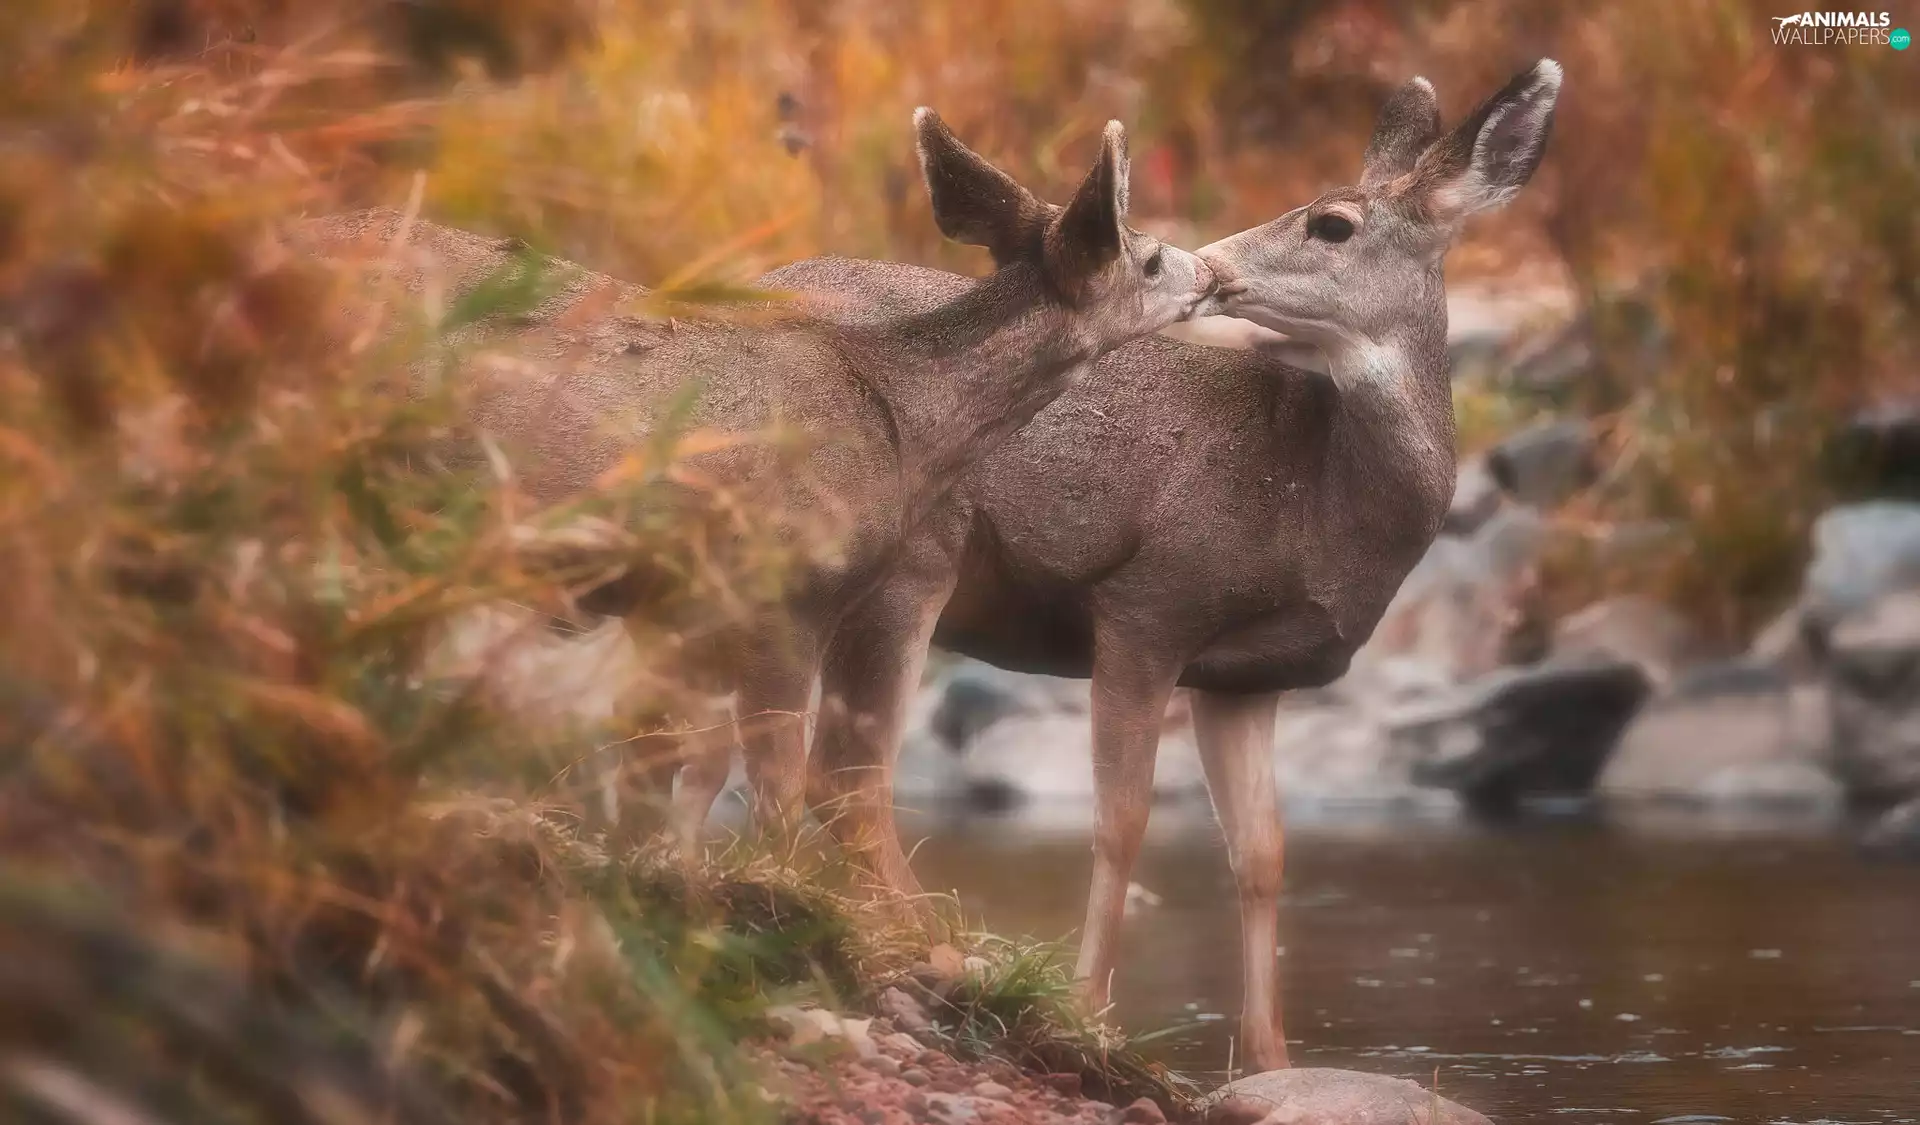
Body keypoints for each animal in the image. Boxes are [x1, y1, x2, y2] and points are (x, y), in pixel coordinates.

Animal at [301, 109, 1216, 854]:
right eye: (1149, 257)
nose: (1214, 274)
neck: (907, 418)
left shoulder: (689, 602)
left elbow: (663, 762)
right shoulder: (780, 586)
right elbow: (774, 782)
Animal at [711, 61, 1563, 1071]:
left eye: (1332, 224)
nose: (1212, 265)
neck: (1316, 495)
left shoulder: (1247, 676)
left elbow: (1263, 853)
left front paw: (1271, 1059)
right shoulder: (1148, 603)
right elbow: (1122, 823)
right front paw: (1087, 1012)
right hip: (908, 558)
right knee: (840, 772)